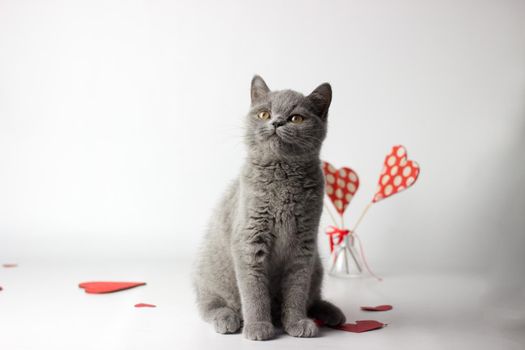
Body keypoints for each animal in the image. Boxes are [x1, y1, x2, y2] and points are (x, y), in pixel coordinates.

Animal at [192, 76, 344, 340]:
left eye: (296, 118)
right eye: (264, 114)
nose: (276, 122)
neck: (282, 176)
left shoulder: (304, 245)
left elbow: (297, 290)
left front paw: (296, 322)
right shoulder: (249, 240)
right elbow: (254, 292)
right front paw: (258, 326)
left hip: (317, 266)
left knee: (312, 297)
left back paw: (331, 313)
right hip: (211, 272)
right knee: (209, 304)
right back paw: (227, 318)